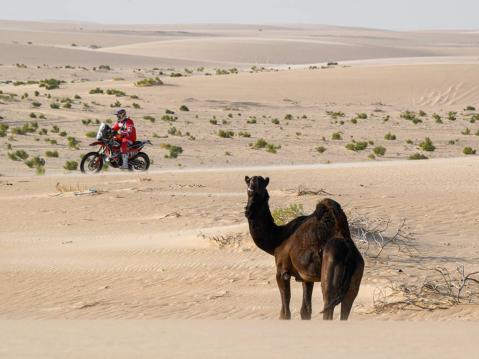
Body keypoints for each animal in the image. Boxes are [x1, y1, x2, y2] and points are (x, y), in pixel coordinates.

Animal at [246, 176, 366, 320]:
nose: (252, 187)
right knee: (346, 306)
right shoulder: (306, 278)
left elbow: (285, 313)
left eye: (263, 188)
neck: (277, 238)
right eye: (249, 184)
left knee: (328, 305)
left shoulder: (282, 271)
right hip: (355, 280)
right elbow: (305, 310)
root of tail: (349, 254)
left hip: (330, 273)